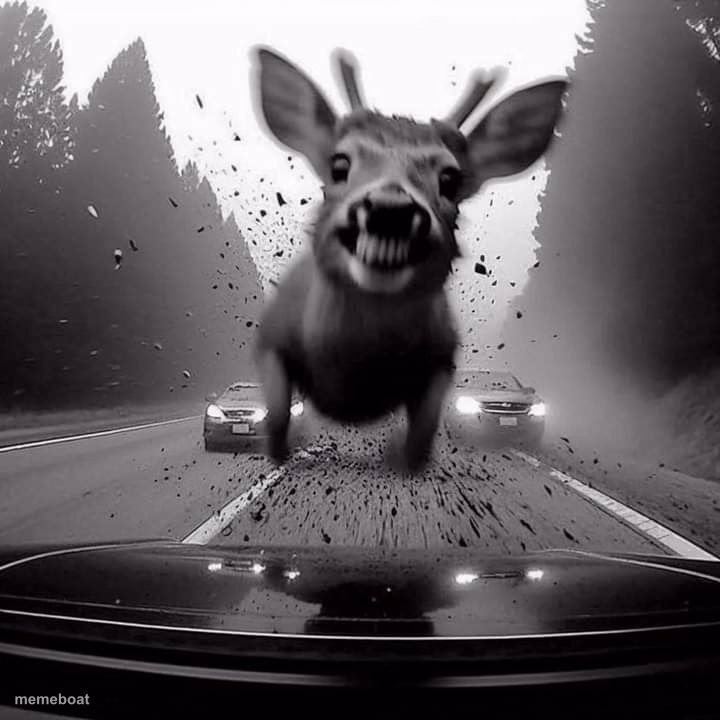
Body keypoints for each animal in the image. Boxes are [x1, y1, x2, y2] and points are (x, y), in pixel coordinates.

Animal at [250, 46, 567, 471]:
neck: (353, 371)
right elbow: (278, 414)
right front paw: (285, 448)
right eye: (339, 164)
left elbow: (424, 433)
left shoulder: (443, 356)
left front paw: (400, 455)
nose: (391, 209)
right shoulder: (270, 335)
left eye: (450, 178)